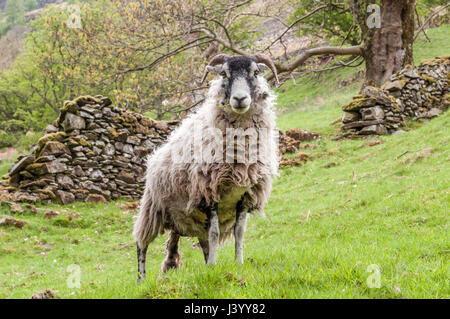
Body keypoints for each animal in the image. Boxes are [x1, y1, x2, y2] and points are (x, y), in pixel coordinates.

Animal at [134, 53, 280, 282]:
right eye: (224, 74)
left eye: (256, 72)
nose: (240, 99)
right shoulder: (208, 192)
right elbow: (215, 233)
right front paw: (214, 265)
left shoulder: (244, 196)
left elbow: (239, 233)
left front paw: (237, 263)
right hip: (152, 208)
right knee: (142, 243)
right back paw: (141, 279)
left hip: (188, 218)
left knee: (198, 242)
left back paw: (204, 263)